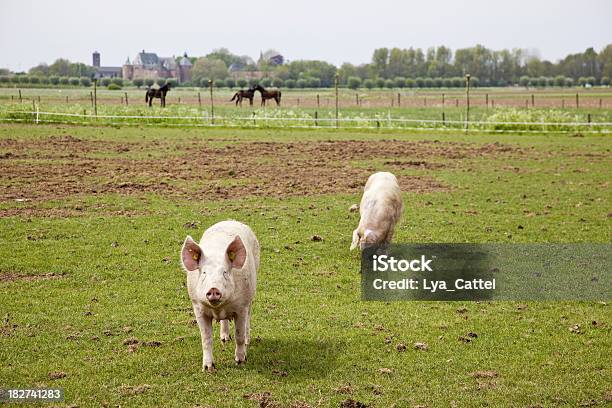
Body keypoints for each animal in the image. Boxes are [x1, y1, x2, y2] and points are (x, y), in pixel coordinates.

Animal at [180, 222, 260, 372]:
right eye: (204, 273)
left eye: (225, 272)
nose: (213, 289)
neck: (219, 308)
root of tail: (230, 221)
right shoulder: (198, 308)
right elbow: (206, 338)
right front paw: (208, 368)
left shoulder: (241, 306)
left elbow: (239, 335)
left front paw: (240, 361)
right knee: (224, 322)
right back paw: (224, 339)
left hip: (252, 292)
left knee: (248, 317)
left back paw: (247, 340)